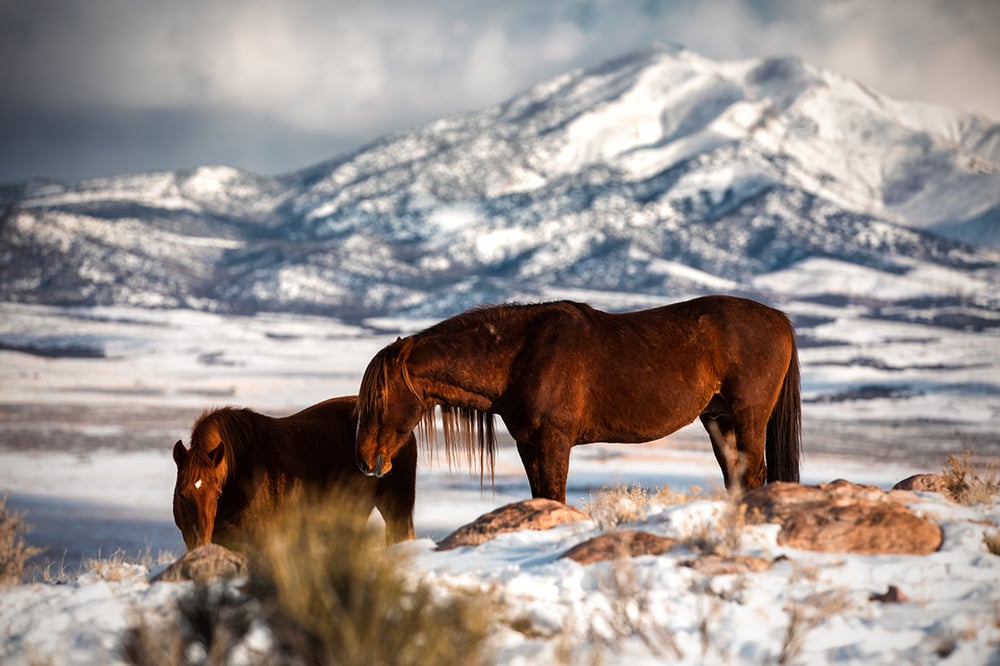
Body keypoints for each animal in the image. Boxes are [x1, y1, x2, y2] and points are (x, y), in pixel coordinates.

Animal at [356, 294, 800, 500]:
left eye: (380, 397)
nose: (364, 460)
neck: (520, 353)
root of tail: (779, 318)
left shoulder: (554, 440)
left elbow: (555, 494)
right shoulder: (528, 444)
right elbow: (542, 496)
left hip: (748, 416)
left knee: (753, 473)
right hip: (718, 419)